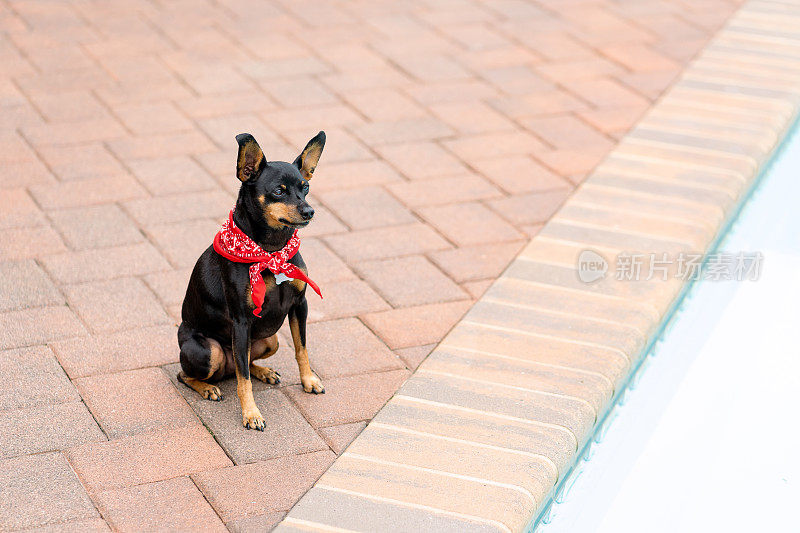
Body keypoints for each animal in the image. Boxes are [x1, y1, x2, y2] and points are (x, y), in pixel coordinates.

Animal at [178, 131, 324, 430]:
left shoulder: (300, 305)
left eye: (305, 187)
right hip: (210, 351)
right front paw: (251, 414)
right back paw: (207, 388)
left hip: (270, 339)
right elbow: (243, 380)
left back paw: (264, 371)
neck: (271, 251)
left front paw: (309, 380)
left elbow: (302, 348)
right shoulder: (242, 321)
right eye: (278, 190)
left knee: (242, 364)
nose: (309, 211)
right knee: (192, 374)